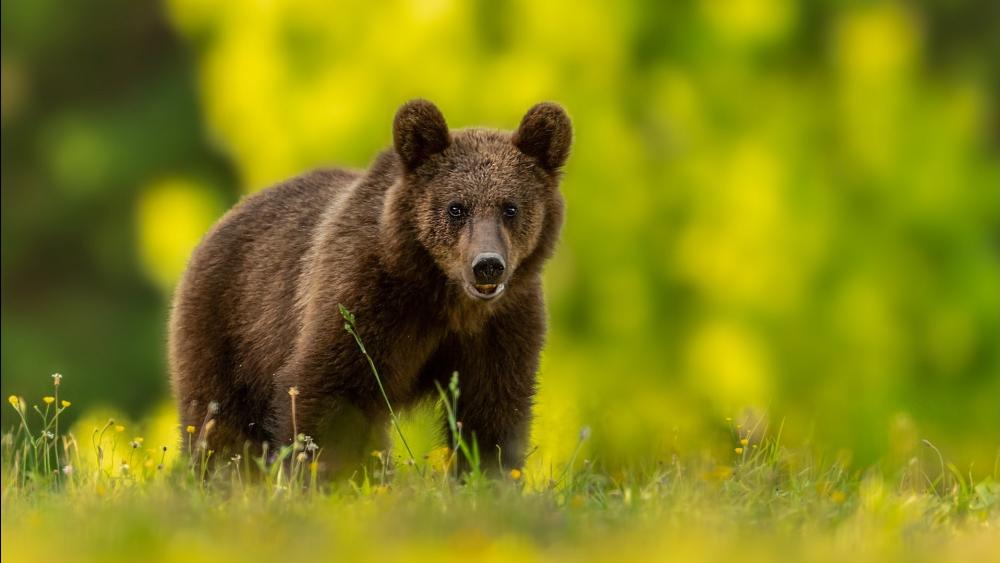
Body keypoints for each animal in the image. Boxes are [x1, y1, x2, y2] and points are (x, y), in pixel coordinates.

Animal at [168, 99, 571, 473]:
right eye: (456, 207)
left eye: (510, 207)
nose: (487, 265)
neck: (444, 296)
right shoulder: (365, 296)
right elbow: (325, 391)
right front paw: (318, 475)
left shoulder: (501, 326)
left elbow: (491, 412)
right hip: (229, 330)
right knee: (218, 423)